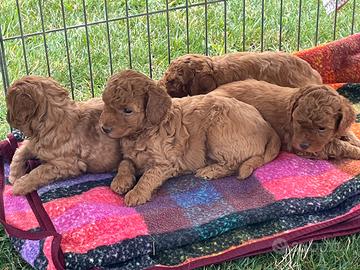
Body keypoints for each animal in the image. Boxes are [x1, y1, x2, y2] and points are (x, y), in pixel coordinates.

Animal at [99, 70, 282, 207]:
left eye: (127, 110)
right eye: (105, 103)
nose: (104, 128)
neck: (141, 133)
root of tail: (267, 126)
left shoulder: (167, 163)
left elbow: (148, 175)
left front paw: (136, 193)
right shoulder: (131, 156)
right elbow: (124, 163)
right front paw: (121, 181)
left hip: (217, 133)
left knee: (233, 164)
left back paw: (209, 171)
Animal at [210, 80, 360, 160]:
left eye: (322, 128)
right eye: (298, 122)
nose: (303, 145)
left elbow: (346, 132)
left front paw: (355, 141)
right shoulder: (298, 146)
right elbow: (337, 145)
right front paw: (356, 150)